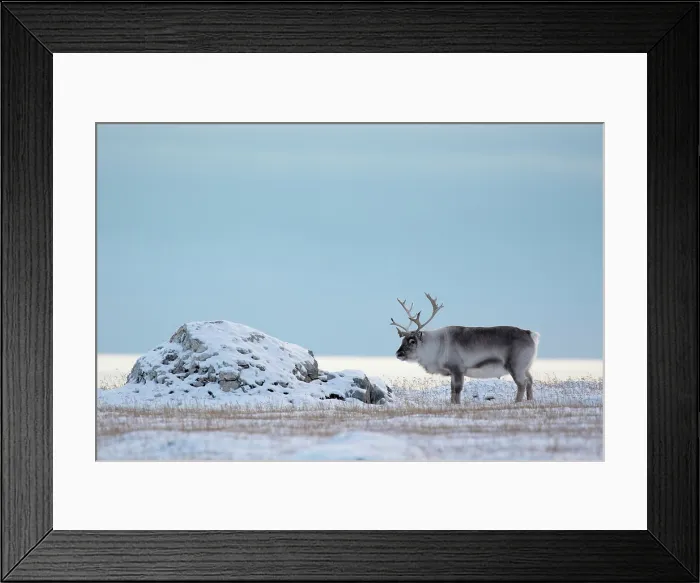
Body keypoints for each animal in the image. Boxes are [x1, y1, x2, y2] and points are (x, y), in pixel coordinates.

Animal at [391, 293, 540, 405]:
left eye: (412, 340)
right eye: (402, 340)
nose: (398, 353)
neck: (436, 346)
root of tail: (530, 333)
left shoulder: (458, 368)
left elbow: (457, 389)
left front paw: (457, 404)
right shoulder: (452, 372)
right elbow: (452, 390)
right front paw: (451, 404)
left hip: (516, 365)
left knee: (522, 383)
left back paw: (516, 402)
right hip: (526, 366)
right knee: (530, 380)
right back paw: (530, 401)